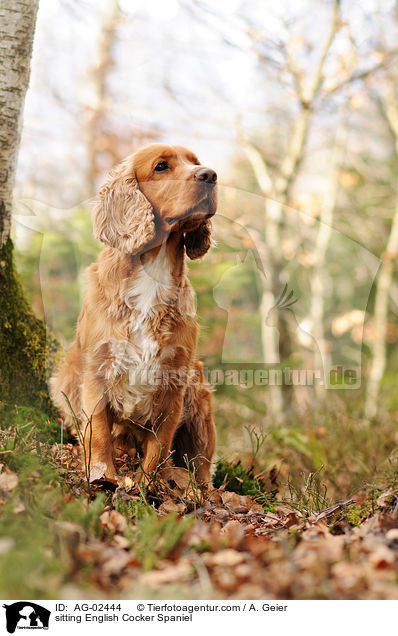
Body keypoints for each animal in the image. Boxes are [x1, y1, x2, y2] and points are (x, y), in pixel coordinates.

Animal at [50, 143, 218, 482]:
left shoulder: (174, 379)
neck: (152, 273)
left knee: (202, 464)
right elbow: (99, 432)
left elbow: (160, 443)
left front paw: (145, 484)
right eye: (161, 166)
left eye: (195, 161)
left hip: (199, 389)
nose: (209, 174)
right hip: (66, 378)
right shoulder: (98, 369)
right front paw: (103, 476)